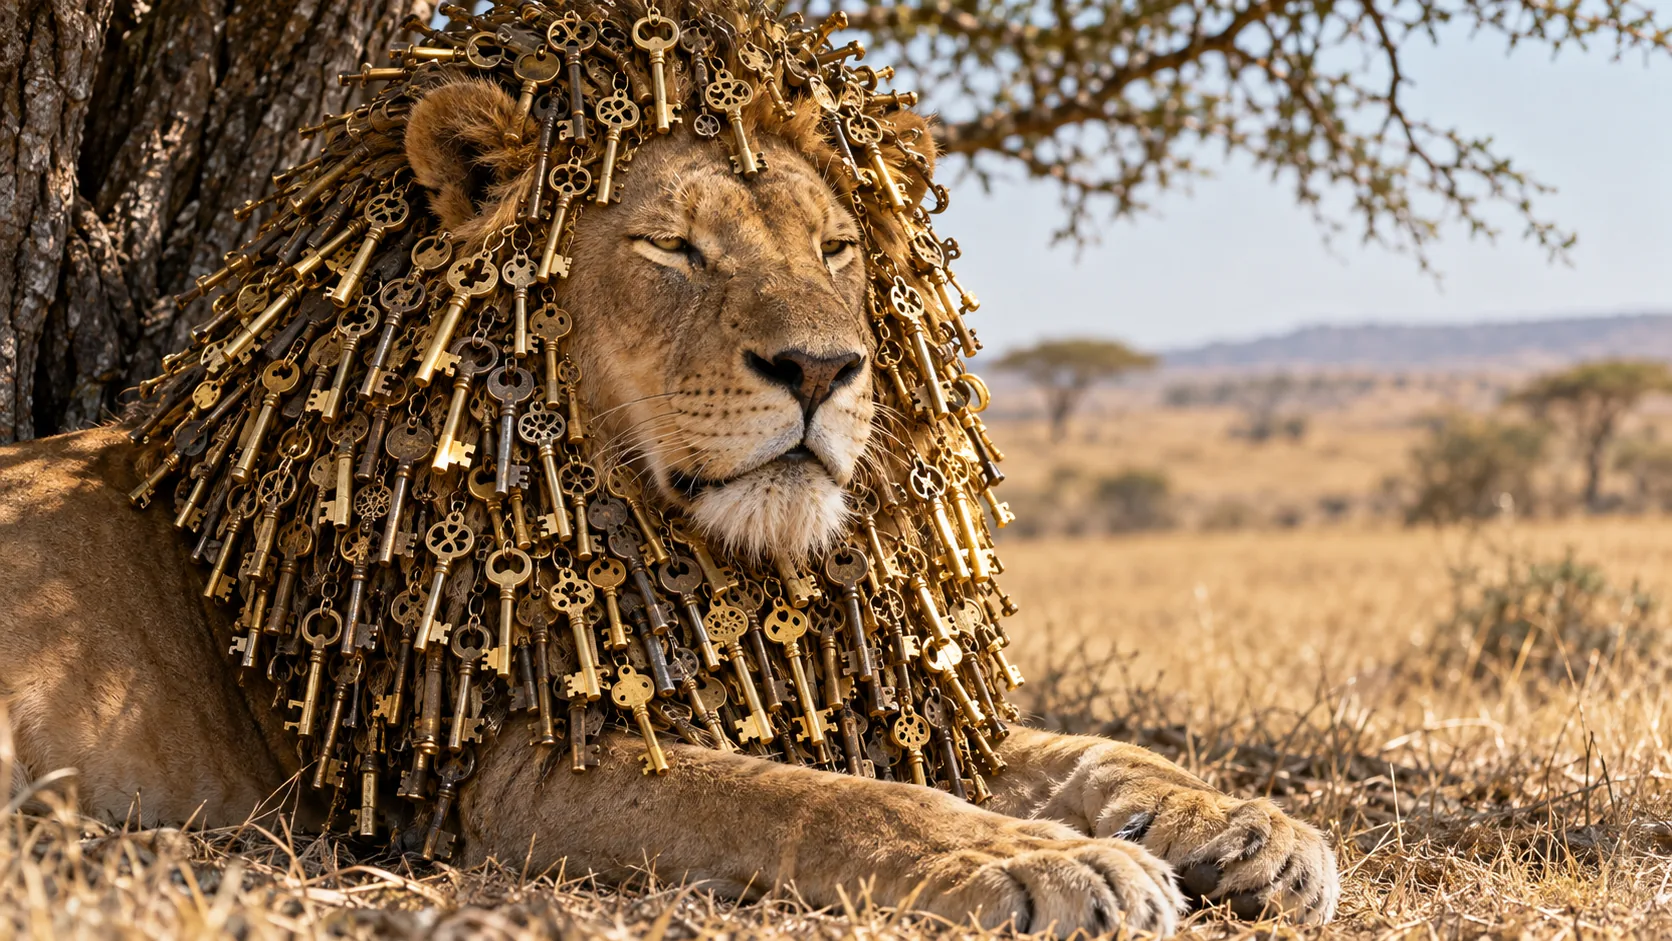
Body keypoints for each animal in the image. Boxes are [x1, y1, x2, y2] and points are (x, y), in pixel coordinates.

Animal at [0, 21, 1339, 935]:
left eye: (836, 248)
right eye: (673, 249)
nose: (822, 368)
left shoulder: (843, 692)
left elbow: (1073, 741)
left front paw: (1248, 823)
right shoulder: (508, 770)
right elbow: (811, 799)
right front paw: (1043, 861)